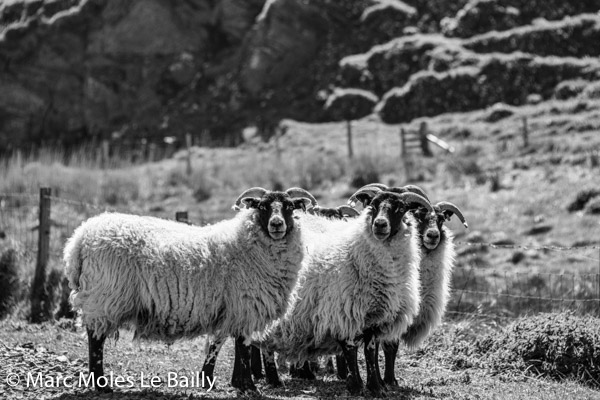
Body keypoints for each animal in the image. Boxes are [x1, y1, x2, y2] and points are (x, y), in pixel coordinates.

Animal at [63, 188, 318, 394]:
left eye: (289, 207)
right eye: (263, 207)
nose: (277, 224)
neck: (248, 243)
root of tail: (79, 239)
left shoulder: (234, 309)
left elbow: (227, 343)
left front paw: (232, 382)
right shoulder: (245, 305)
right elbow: (242, 347)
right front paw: (247, 386)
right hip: (105, 296)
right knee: (95, 339)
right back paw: (101, 385)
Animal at [262, 189, 432, 396]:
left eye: (400, 208)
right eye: (373, 205)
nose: (379, 224)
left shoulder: (374, 317)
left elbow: (371, 351)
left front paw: (376, 387)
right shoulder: (344, 311)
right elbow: (350, 349)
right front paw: (356, 386)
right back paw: (268, 380)